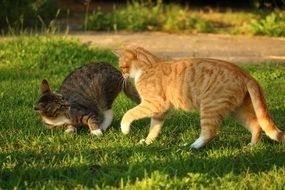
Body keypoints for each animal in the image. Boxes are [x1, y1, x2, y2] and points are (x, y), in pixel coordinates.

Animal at [113, 46, 284, 148]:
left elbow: (129, 114)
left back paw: (193, 146)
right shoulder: (160, 110)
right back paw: (251, 146)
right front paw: (148, 142)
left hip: (210, 107)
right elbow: (154, 128)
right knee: (256, 125)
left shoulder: (155, 104)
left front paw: (125, 130)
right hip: (237, 110)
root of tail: (245, 74)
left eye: (122, 66)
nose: (122, 75)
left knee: (209, 132)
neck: (147, 67)